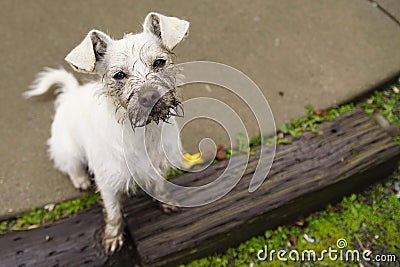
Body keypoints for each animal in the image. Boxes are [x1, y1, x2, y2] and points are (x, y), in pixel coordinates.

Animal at [23, 12, 189, 254]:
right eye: (119, 75)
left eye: (159, 62)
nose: (149, 96)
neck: (143, 133)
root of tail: (70, 94)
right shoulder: (108, 182)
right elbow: (113, 212)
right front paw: (113, 237)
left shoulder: (158, 166)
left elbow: (159, 186)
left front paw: (166, 201)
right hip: (68, 151)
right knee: (70, 167)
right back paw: (81, 179)